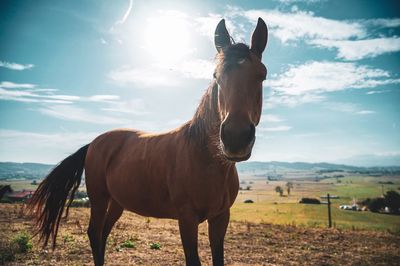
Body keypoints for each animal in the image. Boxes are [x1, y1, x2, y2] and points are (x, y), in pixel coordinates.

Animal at [28, 17, 268, 264]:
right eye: (216, 76)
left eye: (261, 75)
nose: (235, 137)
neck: (205, 159)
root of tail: (94, 143)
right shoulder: (187, 219)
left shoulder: (221, 218)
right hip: (98, 198)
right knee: (94, 233)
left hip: (117, 202)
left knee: (103, 233)